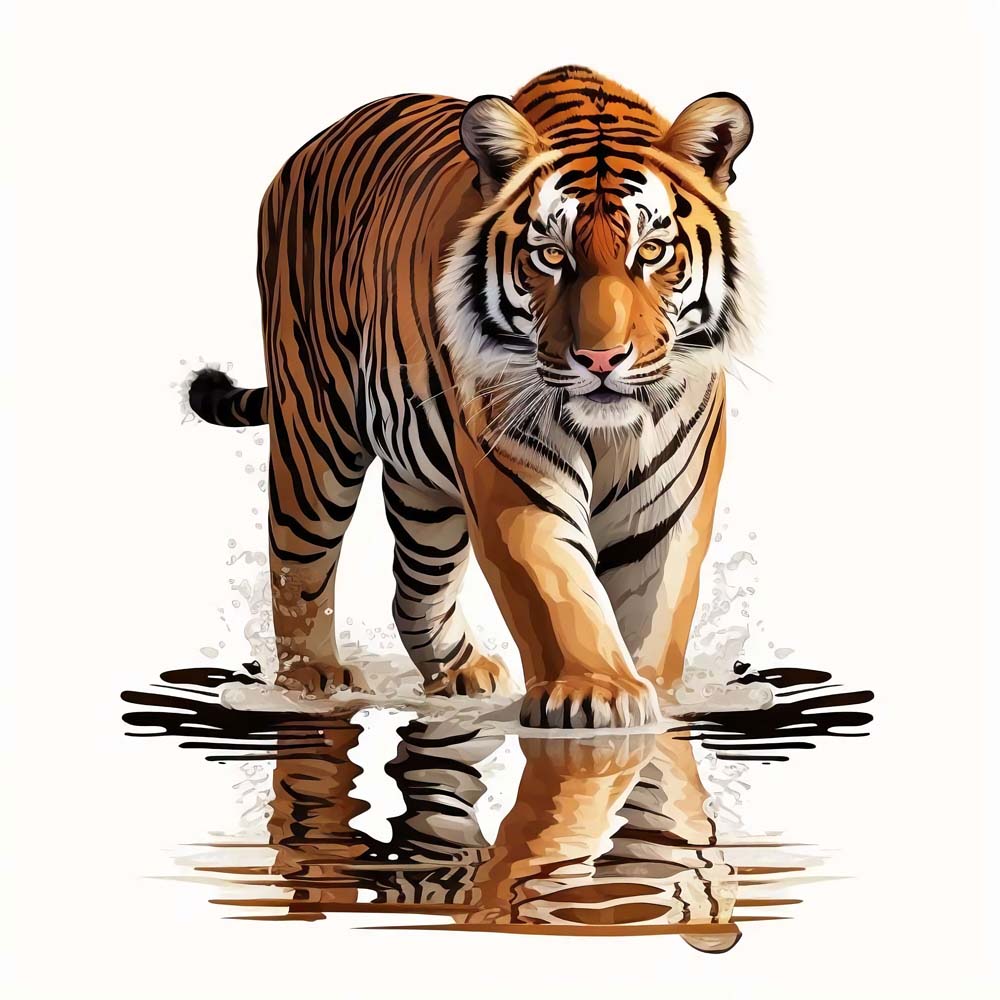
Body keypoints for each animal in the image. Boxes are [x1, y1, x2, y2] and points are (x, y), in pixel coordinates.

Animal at [188, 66, 757, 729]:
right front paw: (597, 692)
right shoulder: (516, 482)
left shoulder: (670, 504)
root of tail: (309, 146)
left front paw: (657, 700)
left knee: (414, 585)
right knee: (297, 558)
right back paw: (312, 678)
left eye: (650, 251)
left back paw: (459, 673)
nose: (600, 359)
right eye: (551, 255)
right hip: (315, 430)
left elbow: (656, 609)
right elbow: (557, 590)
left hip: (424, 491)